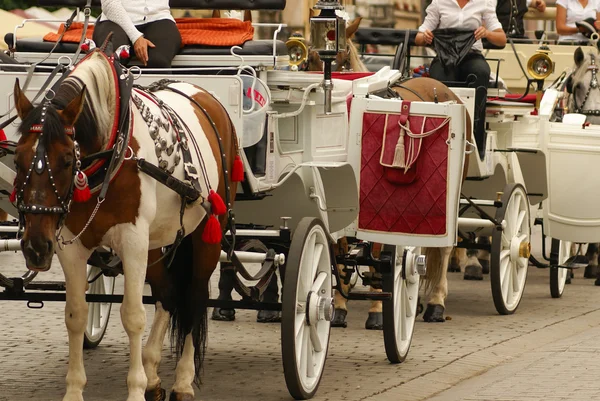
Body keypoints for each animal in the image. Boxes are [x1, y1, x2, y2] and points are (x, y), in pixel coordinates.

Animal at [12, 50, 238, 400]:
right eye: (17, 158)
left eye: (67, 160)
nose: (36, 247)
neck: (111, 151)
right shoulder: (70, 244)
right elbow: (75, 314)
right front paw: (74, 390)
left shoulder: (132, 240)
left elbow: (132, 316)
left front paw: (135, 389)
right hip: (158, 242)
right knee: (168, 293)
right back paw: (154, 373)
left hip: (206, 234)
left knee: (194, 297)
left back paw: (183, 381)